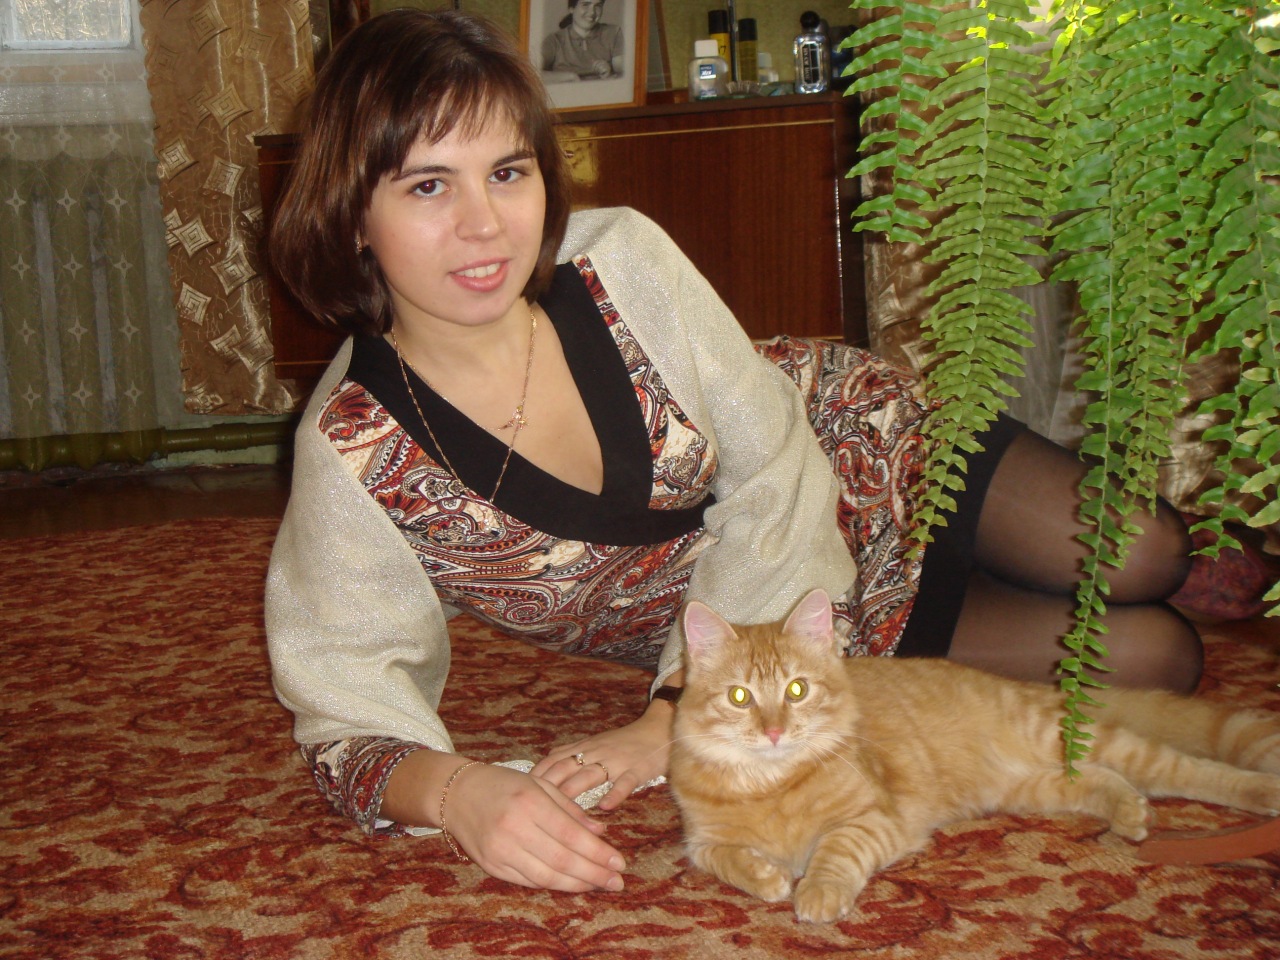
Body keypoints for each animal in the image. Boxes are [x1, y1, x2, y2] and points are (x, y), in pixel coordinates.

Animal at [667, 588, 1280, 923]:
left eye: (796, 690)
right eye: (740, 698)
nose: (773, 732)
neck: (769, 785)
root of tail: (1025, 684)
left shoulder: (876, 818)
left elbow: (833, 853)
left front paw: (815, 893)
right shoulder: (702, 840)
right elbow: (724, 859)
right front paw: (767, 877)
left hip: (1088, 746)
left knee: (1190, 770)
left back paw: (1259, 792)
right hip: (1035, 786)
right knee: (1102, 779)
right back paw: (1128, 814)